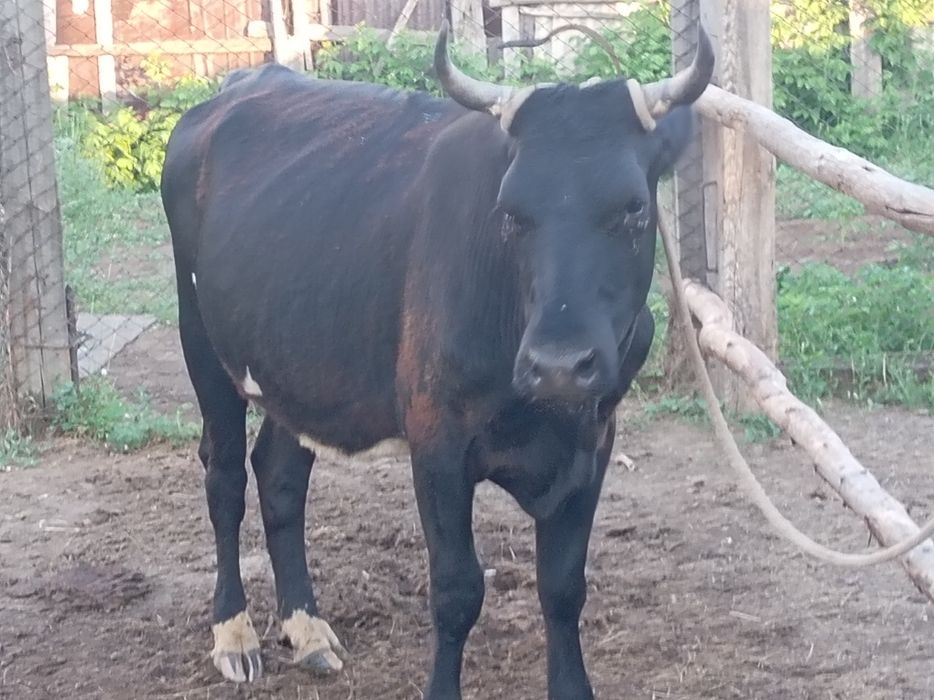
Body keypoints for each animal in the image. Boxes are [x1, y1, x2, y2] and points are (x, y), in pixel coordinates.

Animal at [161, 22, 714, 700]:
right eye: (510, 211)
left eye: (634, 206)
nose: (558, 364)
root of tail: (238, 86)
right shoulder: (437, 443)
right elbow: (456, 591)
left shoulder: (594, 438)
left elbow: (562, 587)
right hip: (201, 342)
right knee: (225, 480)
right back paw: (234, 634)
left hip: (296, 365)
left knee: (280, 475)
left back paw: (308, 629)